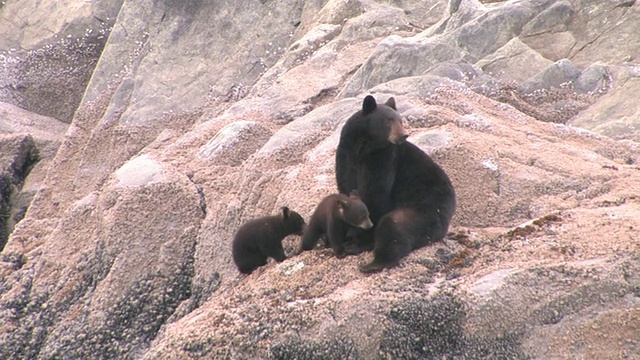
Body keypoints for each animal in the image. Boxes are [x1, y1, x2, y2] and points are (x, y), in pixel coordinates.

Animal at [336, 94, 456, 272]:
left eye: (401, 120)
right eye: (388, 120)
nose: (403, 135)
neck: (363, 150)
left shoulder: (383, 159)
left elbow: (375, 194)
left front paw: (362, 241)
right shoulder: (345, 155)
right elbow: (347, 186)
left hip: (425, 213)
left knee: (393, 227)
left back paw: (374, 264)